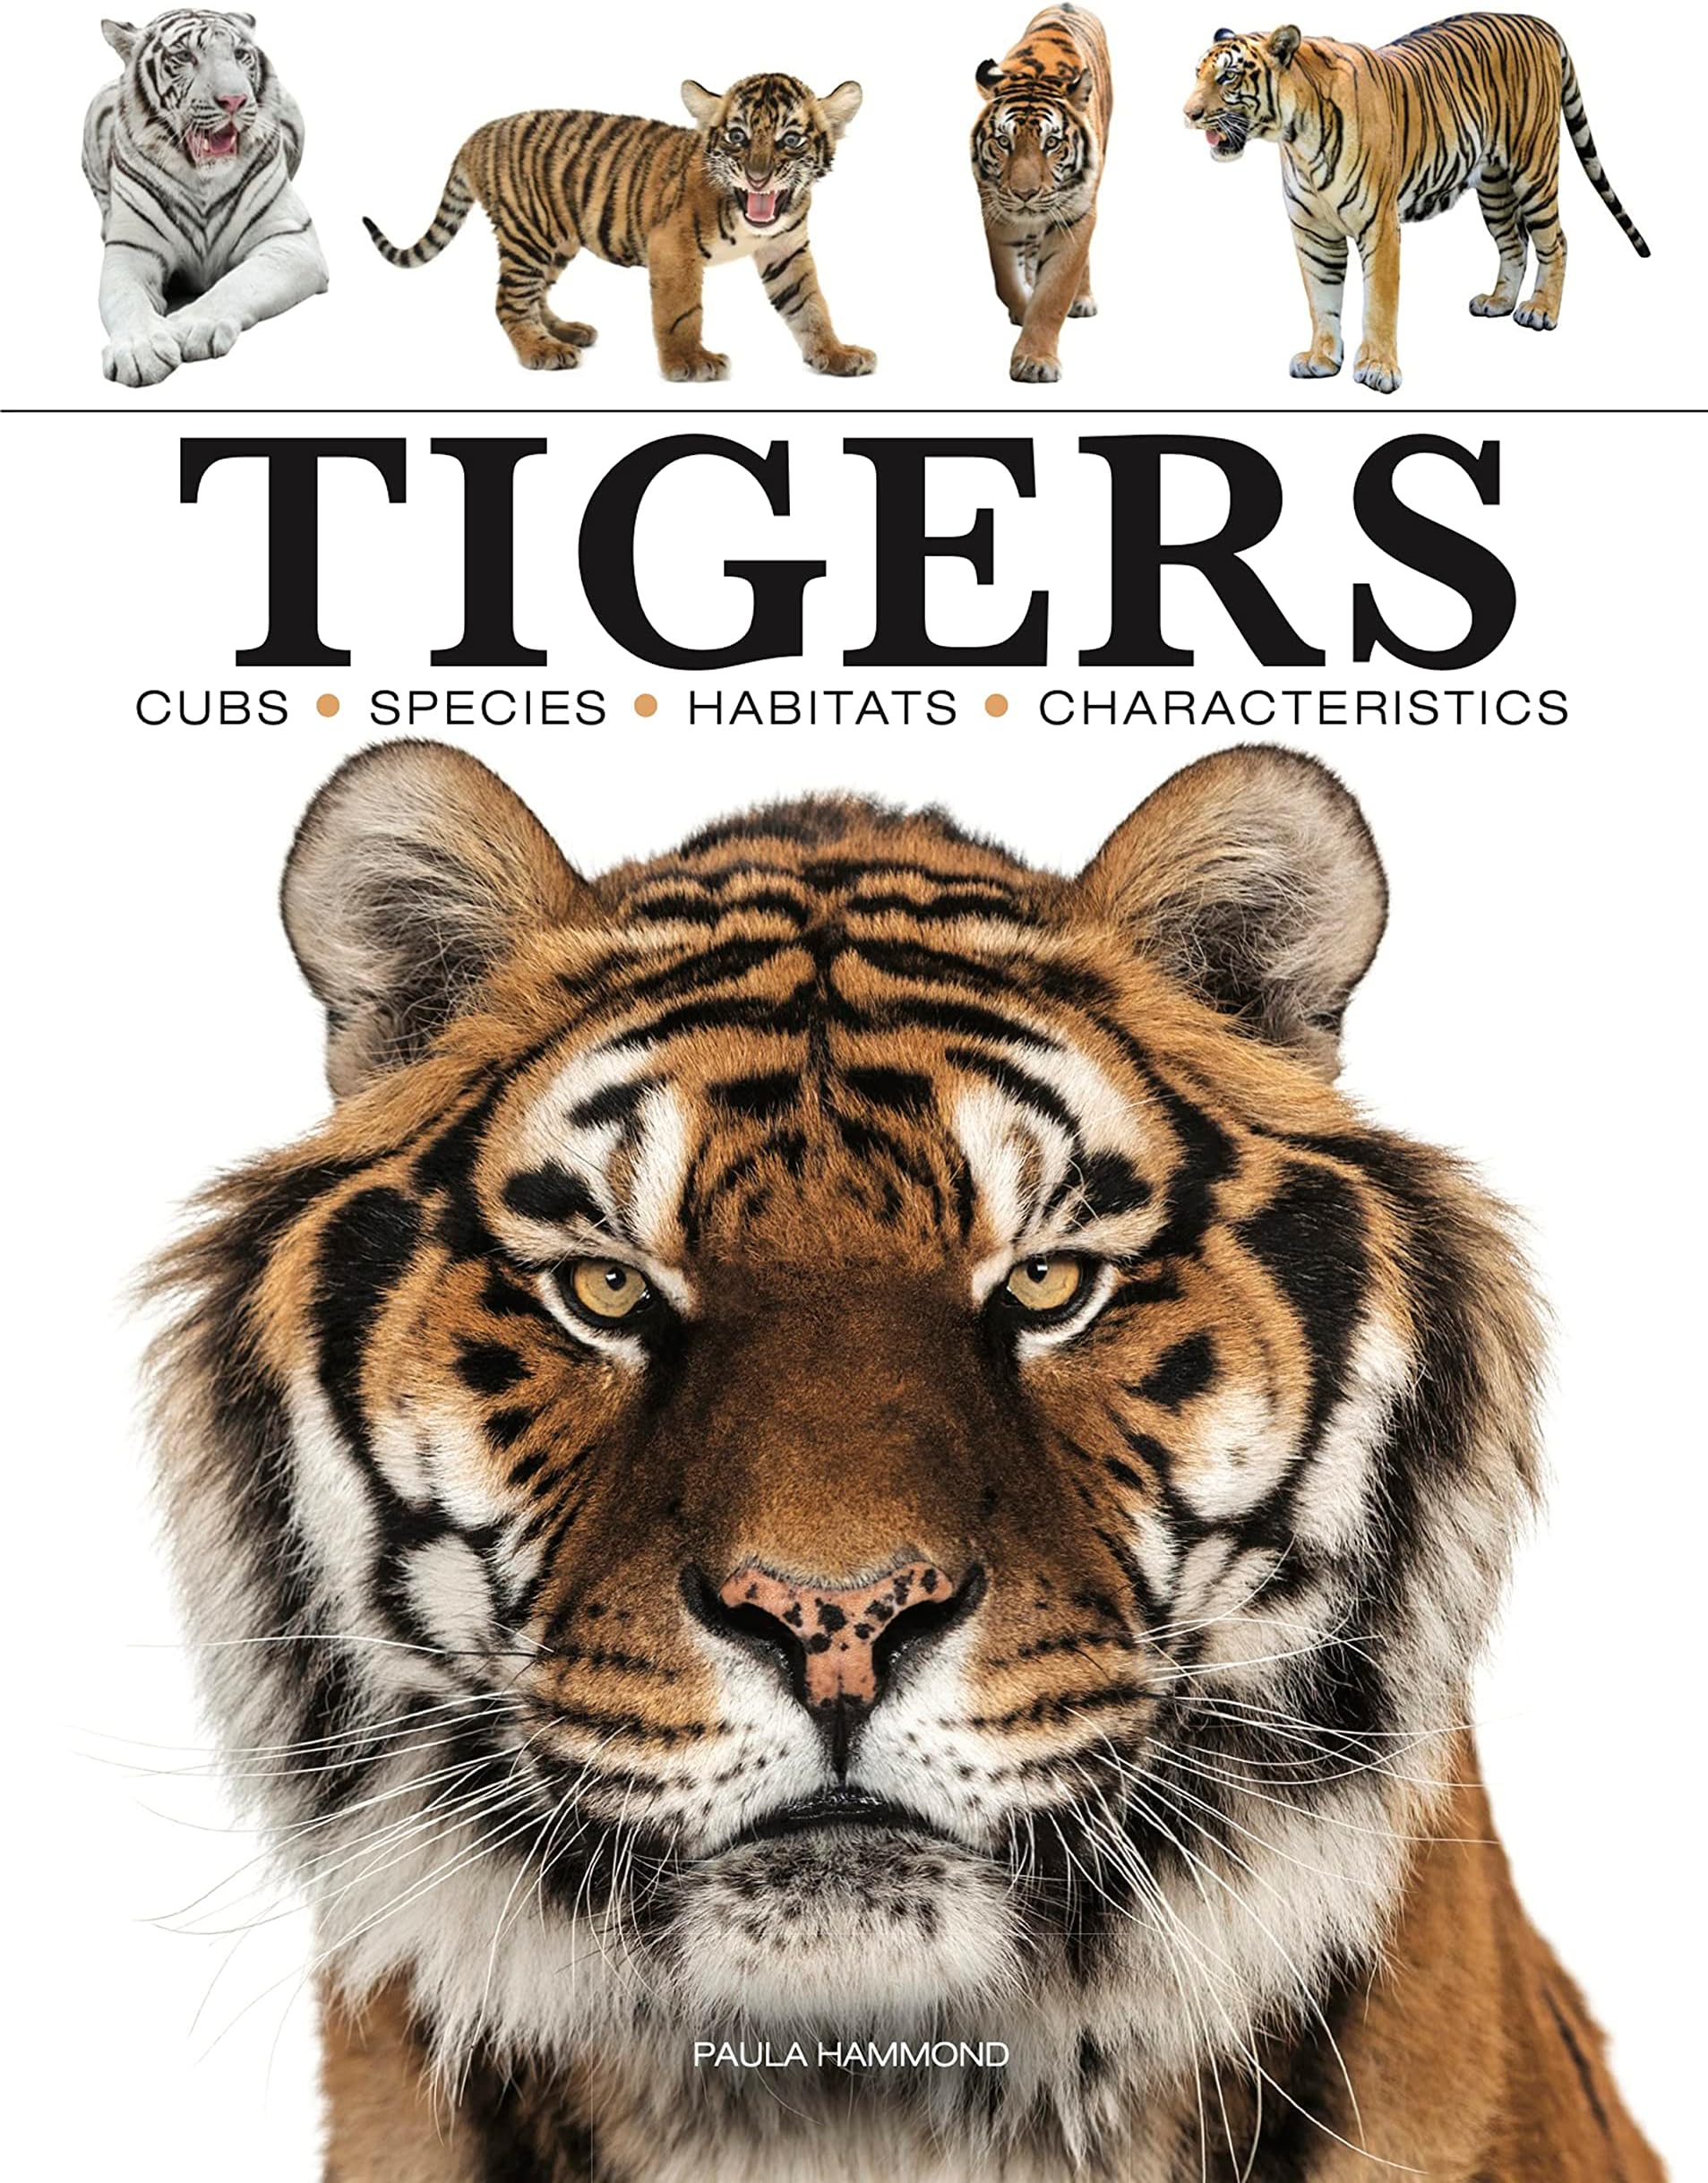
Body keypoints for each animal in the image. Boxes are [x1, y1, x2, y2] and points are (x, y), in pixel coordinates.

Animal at [82, 9, 327, 389]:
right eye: (185, 57)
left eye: (240, 55)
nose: (235, 101)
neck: (202, 178)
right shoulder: (131, 251)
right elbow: (126, 300)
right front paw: (140, 350)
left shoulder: (290, 240)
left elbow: (237, 283)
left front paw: (189, 327)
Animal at [363, 76, 874, 383]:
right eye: (737, 137)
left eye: (791, 140)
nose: (758, 177)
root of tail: (478, 133)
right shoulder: (673, 248)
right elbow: (681, 313)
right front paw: (690, 363)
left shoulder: (786, 250)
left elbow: (810, 306)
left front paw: (835, 353)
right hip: (528, 235)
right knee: (509, 301)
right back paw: (540, 350)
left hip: (557, 241)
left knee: (534, 295)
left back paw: (564, 332)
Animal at [972, 6, 1113, 384]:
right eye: (1003, 141)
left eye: (1051, 142)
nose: (1025, 193)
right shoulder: (997, 213)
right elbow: (1006, 280)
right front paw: (1022, 310)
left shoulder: (1076, 216)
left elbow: (1053, 296)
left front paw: (1036, 360)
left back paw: (1083, 299)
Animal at [1183, 14, 1651, 394]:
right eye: (1197, 75)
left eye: (1227, 78)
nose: (1187, 114)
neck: (1295, 137)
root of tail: (1540, 23)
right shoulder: (1314, 233)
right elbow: (1321, 300)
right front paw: (1321, 359)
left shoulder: (1379, 225)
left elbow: (1378, 303)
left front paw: (1378, 369)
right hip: (1494, 186)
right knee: (1513, 244)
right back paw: (1498, 303)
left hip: (1533, 167)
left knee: (1556, 240)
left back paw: (1540, 311)